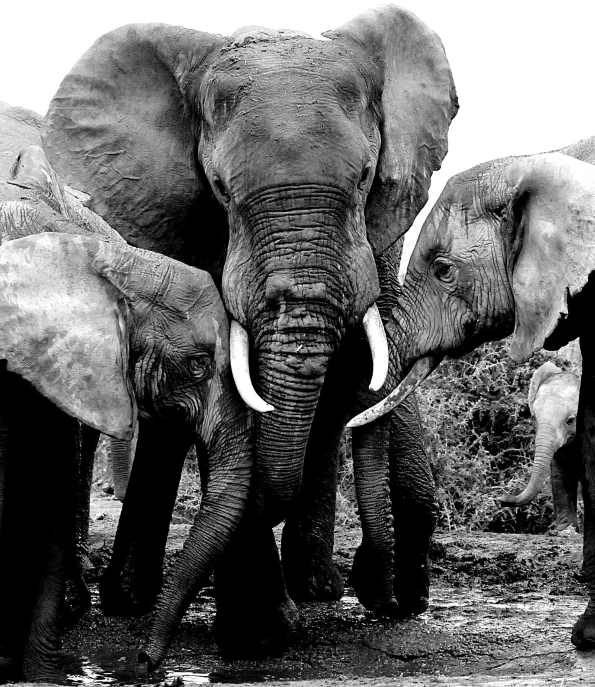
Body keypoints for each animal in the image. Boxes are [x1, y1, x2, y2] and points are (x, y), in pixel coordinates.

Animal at [0, 180, 251, 680]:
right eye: (198, 365)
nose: (144, 661)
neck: (113, 261)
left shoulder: (54, 367)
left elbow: (50, 493)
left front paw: (43, 678)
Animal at [42, 6, 458, 656]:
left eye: (366, 178)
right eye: (221, 190)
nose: (393, 599)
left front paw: (269, 625)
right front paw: (259, 636)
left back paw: (318, 589)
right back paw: (131, 601)